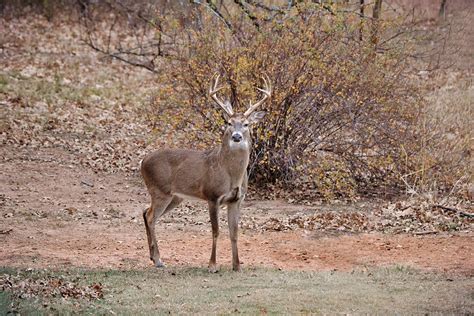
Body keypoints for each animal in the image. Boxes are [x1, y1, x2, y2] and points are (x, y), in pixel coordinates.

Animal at [140, 74, 270, 272]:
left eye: (246, 124)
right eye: (229, 123)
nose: (237, 136)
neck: (231, 175)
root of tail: (142, 162)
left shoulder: (237, 200)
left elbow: (234, 232)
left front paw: (237, 265)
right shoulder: (212, 196)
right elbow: (216, 231)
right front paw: (212, 265)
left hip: (175, 197)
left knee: (146, 212)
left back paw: (153, 257)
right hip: (159, 190)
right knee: (151, 216)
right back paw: (159, 260)